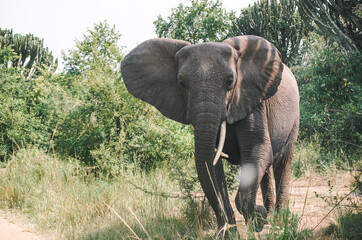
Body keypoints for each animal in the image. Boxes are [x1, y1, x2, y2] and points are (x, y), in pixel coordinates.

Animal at [121, 34, 300, 237]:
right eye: (181, 83)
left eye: (230, 81)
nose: (258, 217)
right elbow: (212, 166)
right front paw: (228, 234)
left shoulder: (252, 102)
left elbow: (258, 151)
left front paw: (258, 220)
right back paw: (269, 216)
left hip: (294, 118)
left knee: (283, 162)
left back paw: (278, 221)